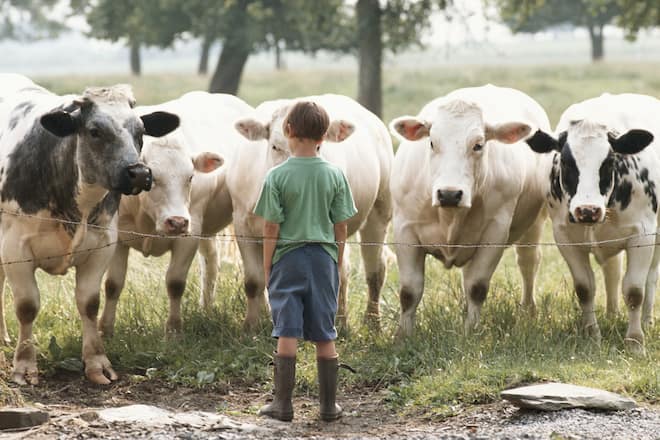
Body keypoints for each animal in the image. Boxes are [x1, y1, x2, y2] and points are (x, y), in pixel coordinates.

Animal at [0, 74, 179, 384]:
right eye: (95, 131)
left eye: (141, 131)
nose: (139, 173)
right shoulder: (15, 247)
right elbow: (26, 306)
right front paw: (24, 364)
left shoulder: (102, 244)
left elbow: (89, 303)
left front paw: (97, 362)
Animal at [98, 92, 252, 337]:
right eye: (151, 177)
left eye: (190, 177)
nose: (177, 222)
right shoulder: (118, 238)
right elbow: (113, 284)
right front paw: (105, 329)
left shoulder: (190, 233)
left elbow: (175, 283)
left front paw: (173, 329)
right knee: (210, 262)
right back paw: (206, 308)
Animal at [389, 84, 551, 337]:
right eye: (432, 142)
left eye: (478, 145)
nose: (449, 194)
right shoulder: (404, 230)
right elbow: (409, 291)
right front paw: (403, 335)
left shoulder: (495, 233)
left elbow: (477, 287)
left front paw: (470, 332)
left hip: (534, 223)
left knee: (528, 262)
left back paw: (528, 310)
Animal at [525, 93, 660, 354]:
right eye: (566, 162)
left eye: (608, 162)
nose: (587, 210)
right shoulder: (565, 238)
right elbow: (585, 288)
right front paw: (591, 335)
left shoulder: (643, 236)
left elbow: (635, 291)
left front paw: (635, 341)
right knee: (613, 272)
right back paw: (612, 314)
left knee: (650, 279)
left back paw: (647, 321)